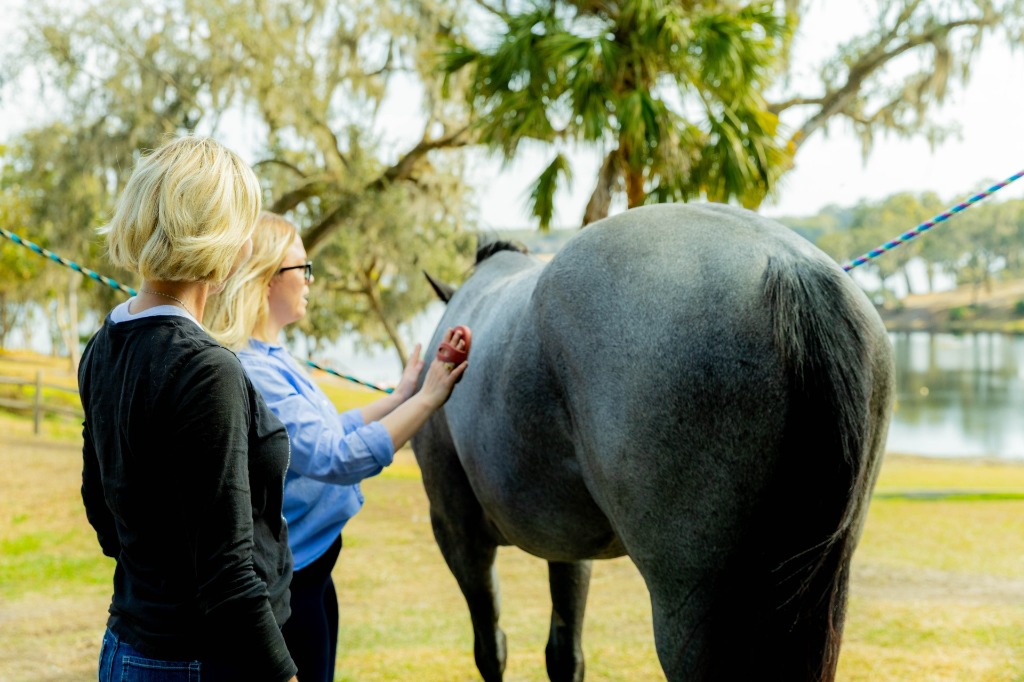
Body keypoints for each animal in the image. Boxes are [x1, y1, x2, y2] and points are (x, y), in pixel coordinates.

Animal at [412, 202, 894, 681]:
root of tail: (788, 264)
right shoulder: (569, 551)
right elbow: (564, 653)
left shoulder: (458, 534)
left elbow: (490, 648)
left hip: (691, 605)